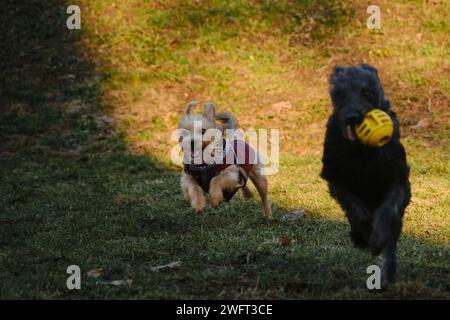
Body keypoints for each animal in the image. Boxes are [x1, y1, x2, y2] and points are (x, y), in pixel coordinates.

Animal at [320, 63, 412, 286]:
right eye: (340, 94)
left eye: (367, 93)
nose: (352, 117)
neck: (361, 150)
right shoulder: (336, 176)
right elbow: (354, 207)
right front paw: (365, 232)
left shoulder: (398, 177)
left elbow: (388, 210)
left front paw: (378, 236)